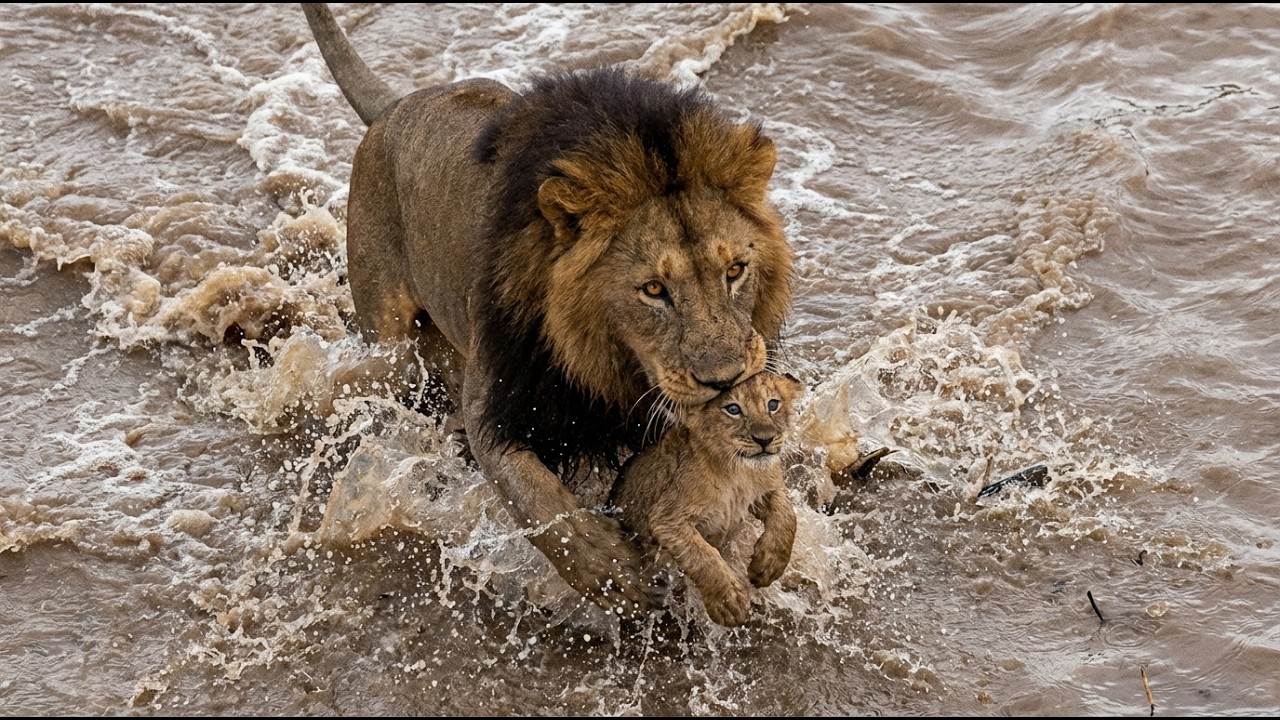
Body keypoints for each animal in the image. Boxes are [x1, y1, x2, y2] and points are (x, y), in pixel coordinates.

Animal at [609, 371, 801, 627]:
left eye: (773, 404)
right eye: (733, 409)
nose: (765, 439)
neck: (737, 472)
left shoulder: (768, 489)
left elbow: (787, 515)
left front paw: (767, 566)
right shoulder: (667, 518)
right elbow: (703, 555)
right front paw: (729, 602)